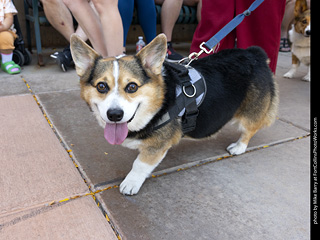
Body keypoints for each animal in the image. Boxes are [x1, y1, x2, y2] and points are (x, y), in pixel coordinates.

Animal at [70, 33, 278, 195]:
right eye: (101, 86)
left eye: (132, 87)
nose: (114, 115)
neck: (160, 101)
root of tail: (255, 53)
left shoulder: (156, 147)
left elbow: (140, 164)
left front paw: (131, 183)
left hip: (250, 114)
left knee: (249, 129)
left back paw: (239, 147)